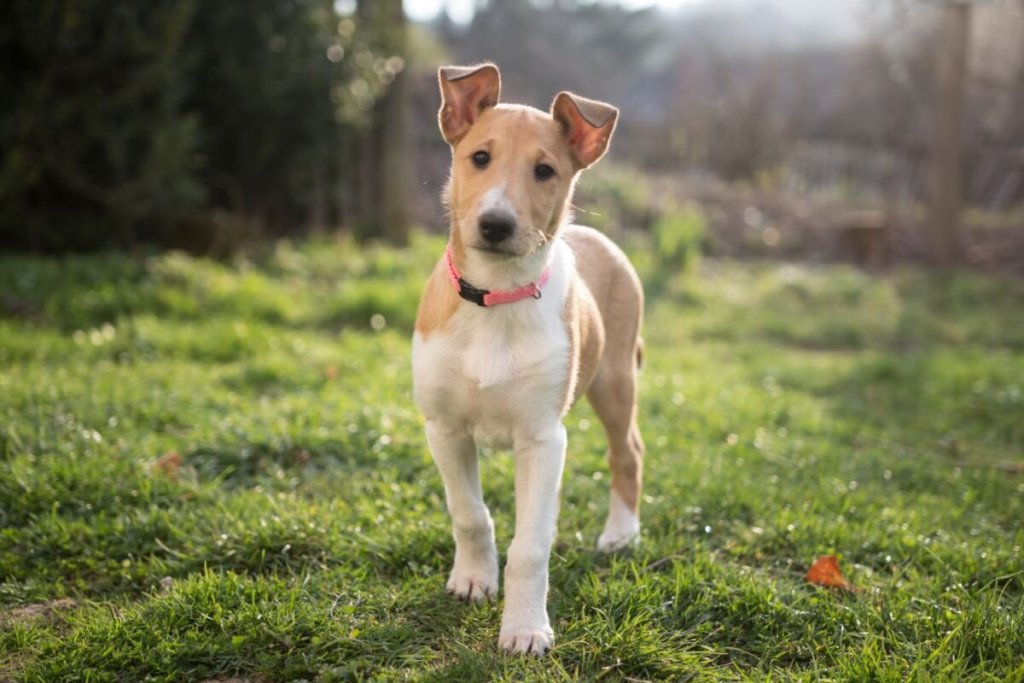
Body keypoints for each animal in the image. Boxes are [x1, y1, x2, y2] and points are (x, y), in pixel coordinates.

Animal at [411, 63, 643, 655]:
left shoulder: (542, 438)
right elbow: (470, 513)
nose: (496, 224)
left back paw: (620, 534)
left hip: (615, 381)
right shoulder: (444, 428)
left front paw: (524, 629)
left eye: (544, 171)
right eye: (479, 158)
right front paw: (473, 580)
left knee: (627, 452)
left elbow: (531, 546)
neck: (497, 297)